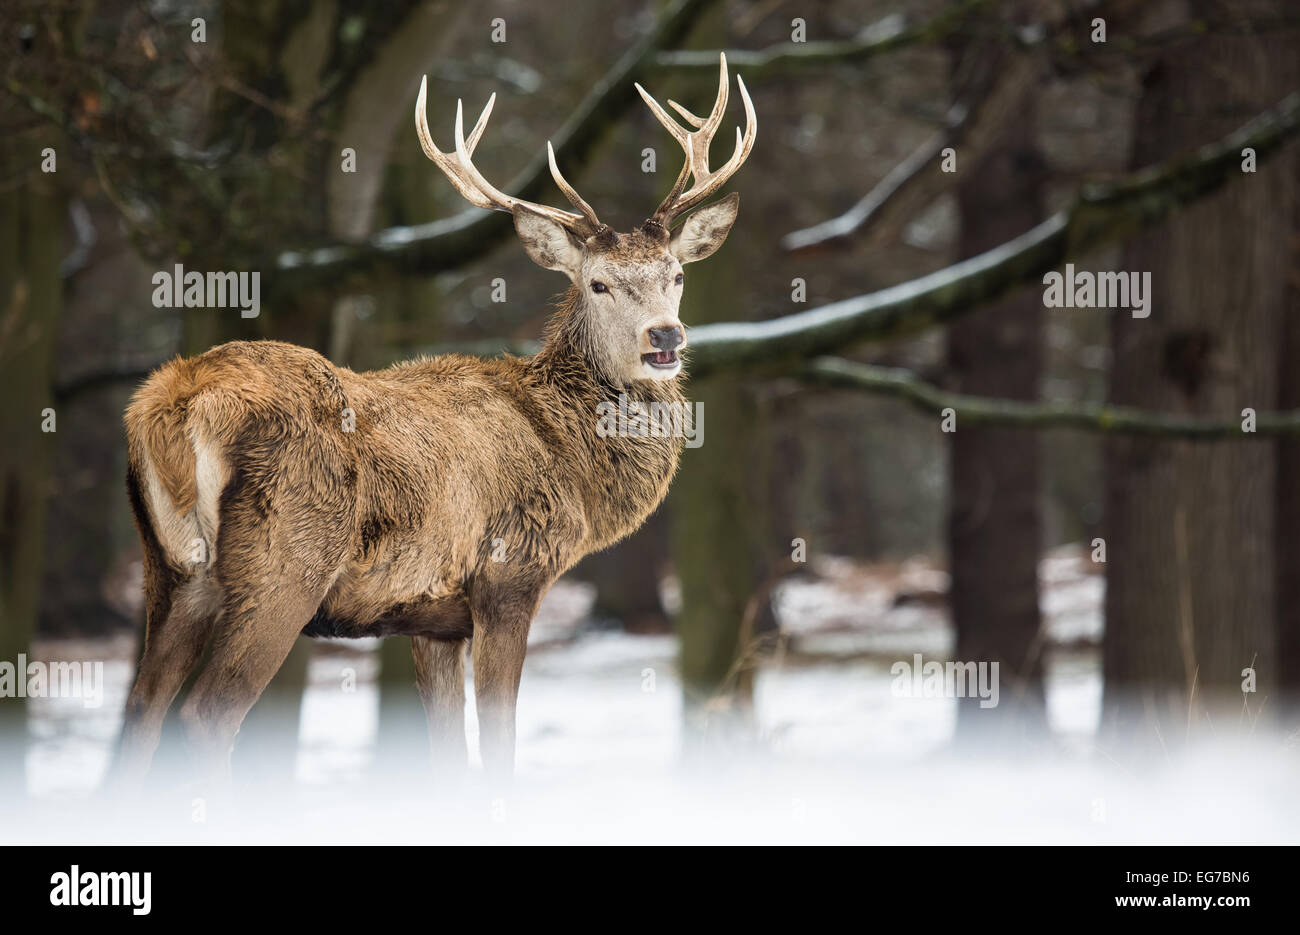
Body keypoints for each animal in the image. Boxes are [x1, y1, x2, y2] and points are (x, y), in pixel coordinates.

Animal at [112, 54, 755, 787]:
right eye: (598, 283)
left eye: (676, 275)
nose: (664, 337)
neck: (570, 462)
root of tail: (177, 402)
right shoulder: (509, 573)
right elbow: (499, 745)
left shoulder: (430, 619)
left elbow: (448, 754)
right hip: (284, 562)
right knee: (205, 716)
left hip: (169, 573)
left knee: (140, 719)